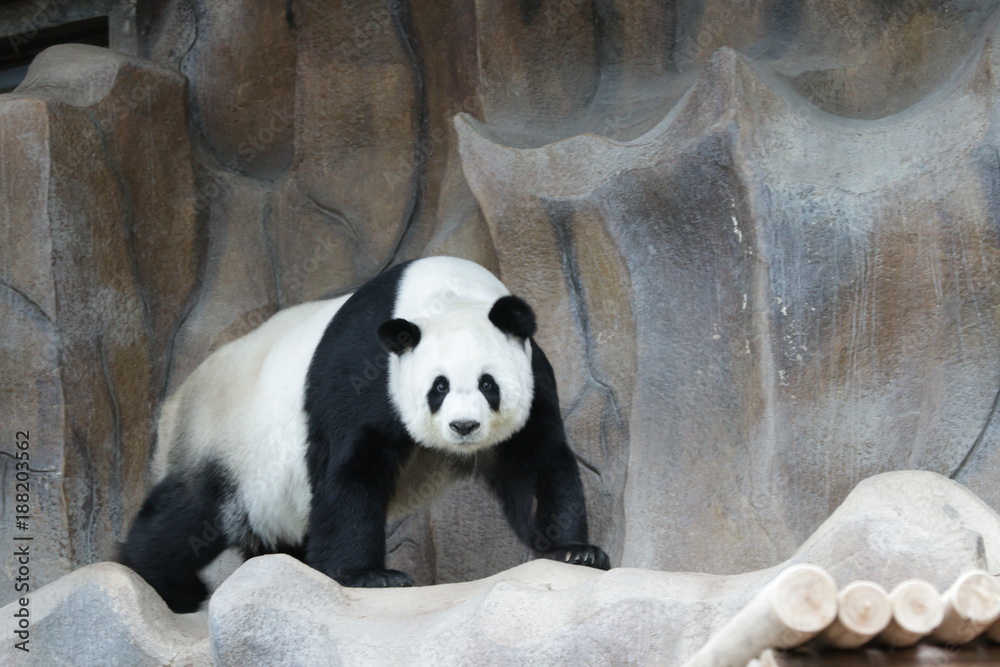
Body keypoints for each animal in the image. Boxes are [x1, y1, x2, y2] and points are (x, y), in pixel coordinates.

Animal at [121, 256, 610, 613]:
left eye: (488, 384)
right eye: (439, 386)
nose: (464, 427)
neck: (448, 293)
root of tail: (175, 402)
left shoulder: (534, 375)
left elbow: (537, 461)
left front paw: (575, 551)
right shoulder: (365, 372)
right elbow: (351, 471)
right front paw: (371, 576)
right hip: (224, 440)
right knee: (187, 518)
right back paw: (161, 582)